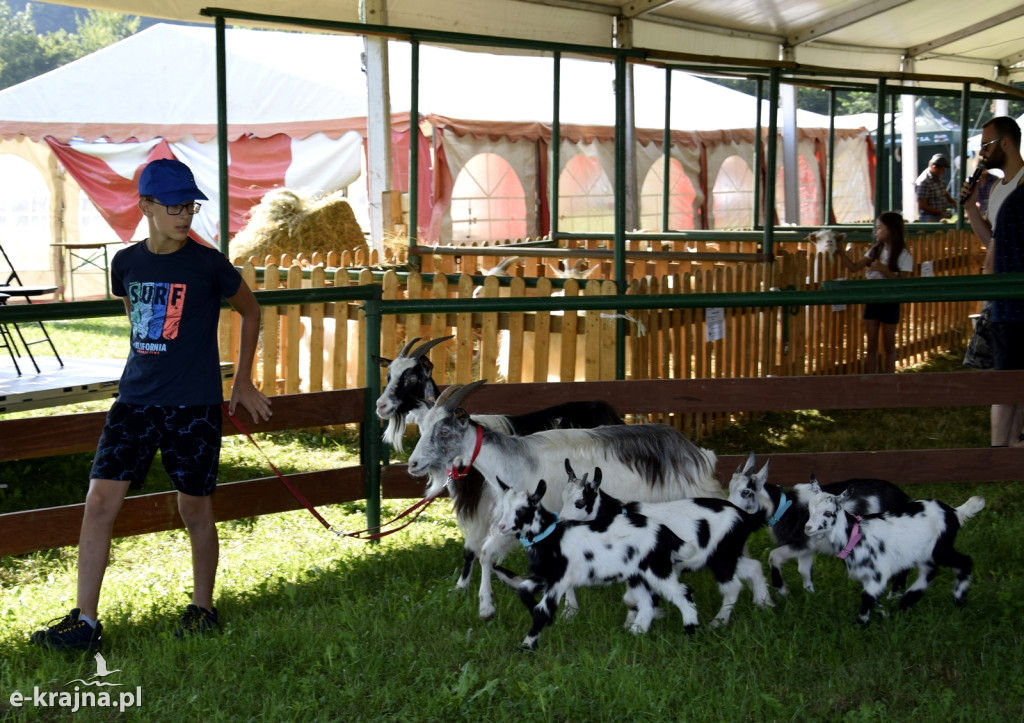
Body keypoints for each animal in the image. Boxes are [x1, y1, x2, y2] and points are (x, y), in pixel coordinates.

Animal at [493, 479, 700, 647]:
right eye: (504, 507)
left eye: (522, 510)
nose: (501, 527)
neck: (551, 537)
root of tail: (666, 533)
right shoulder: (544, 576)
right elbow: (523, 590)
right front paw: (545, 623)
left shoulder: (559, 580)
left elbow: (541, 611)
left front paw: (528, 645)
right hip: (637, 574)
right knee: (647, 602)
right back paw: (635, 634)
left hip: (657, 568)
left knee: (683, 593)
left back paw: (690, 633)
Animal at [561, 462, 774, 626]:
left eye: (580, 502)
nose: (562, 521)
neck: (618, 514)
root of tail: (745, 517)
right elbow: (632, 596)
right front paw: (637, 619)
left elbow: (632, 597)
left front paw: (648, 615)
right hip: (725, 553)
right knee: (754, 567)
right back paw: (765, 604)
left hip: (724, 557)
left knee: (733, 586)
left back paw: (718, 621)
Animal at [729, 452, 913, 593]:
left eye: (746, 492)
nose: (729, 508)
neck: (784, 507)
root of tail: (905, 499)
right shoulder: (808, 548)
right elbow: (803, 571)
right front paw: (809, 594)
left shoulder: (799, 543)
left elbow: (773, 556)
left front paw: (781, 590)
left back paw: (895, 594)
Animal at [802, 475, 987, 622]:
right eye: (809, 510)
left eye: (828, 513)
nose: (808, 528)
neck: (855, 535)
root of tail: (954, 512)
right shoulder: (866, 576)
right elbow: (873, 598)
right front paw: (885, 614)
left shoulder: (878, 573)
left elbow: (867, 596)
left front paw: (862, 624)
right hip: (924, 553)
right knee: (929, 571)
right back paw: (906, 602)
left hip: (941, 548)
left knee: (964, 562)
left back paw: (958, 599)